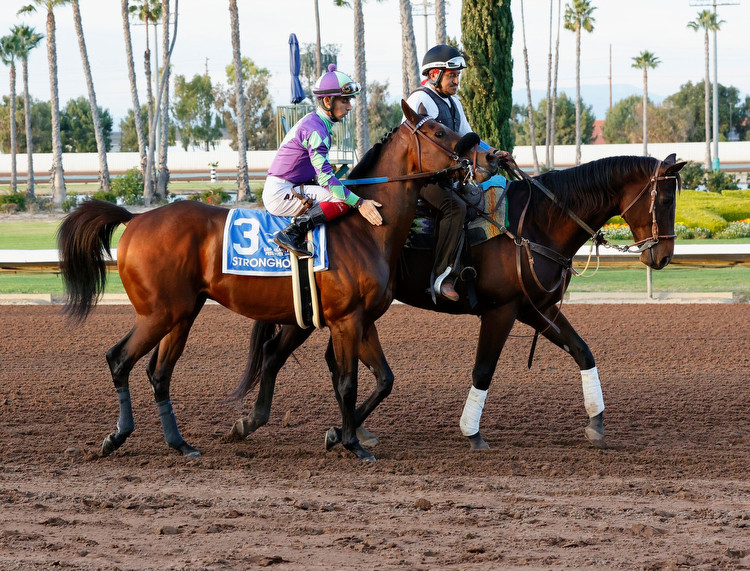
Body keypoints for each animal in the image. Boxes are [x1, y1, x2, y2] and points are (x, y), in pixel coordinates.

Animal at [58, 100, 500, 462]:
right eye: (439, 131)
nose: (485, 157)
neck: (366, 229)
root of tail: (135, 219)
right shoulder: (346, 320)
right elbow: (347, 382)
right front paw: (352, 444)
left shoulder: (362, 320)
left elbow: (384, 379)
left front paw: (340, 434)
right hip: (159, 313)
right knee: (119, 359)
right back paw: (117, 437)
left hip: (182, 314)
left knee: (159, 372)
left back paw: (181, 444)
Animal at [232, 154, 684, 454]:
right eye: (664, 199)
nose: (662, 257)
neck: (533, 223)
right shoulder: (502, 311)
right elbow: (483, 370)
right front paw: (472, 431)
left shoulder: (537, 309)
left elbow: (583, 351)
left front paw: (596, 422)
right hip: (317, 313)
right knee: (275, 352)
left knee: (323, 360)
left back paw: (352, 430)